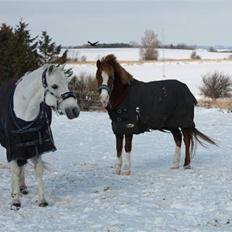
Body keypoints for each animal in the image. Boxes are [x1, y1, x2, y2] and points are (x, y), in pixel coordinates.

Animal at [0, 64, 80, 209]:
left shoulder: (35, 146)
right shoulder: (14, 146)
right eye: (54, 86)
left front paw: (42, 200)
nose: (75, 110)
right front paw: (15, 201)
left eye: (66, 83)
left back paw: (22, 187)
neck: (24, 113)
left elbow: (38, 171)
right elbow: (15, 170)